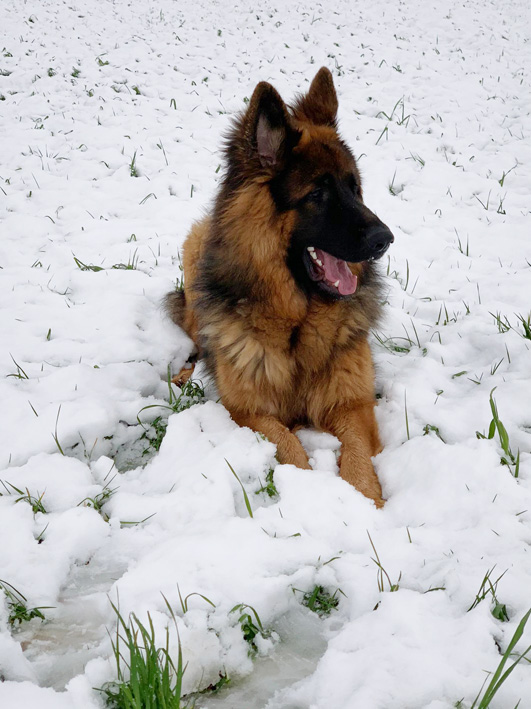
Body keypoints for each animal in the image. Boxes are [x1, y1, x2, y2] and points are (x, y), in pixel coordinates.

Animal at [166, 67, 393, 507]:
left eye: (354, 187)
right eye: (318, 193)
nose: (385, 239)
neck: (297, 323)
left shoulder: (353, 404)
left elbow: (358, 457)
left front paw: (365, 501)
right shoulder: (247, 411)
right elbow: (289, 446)